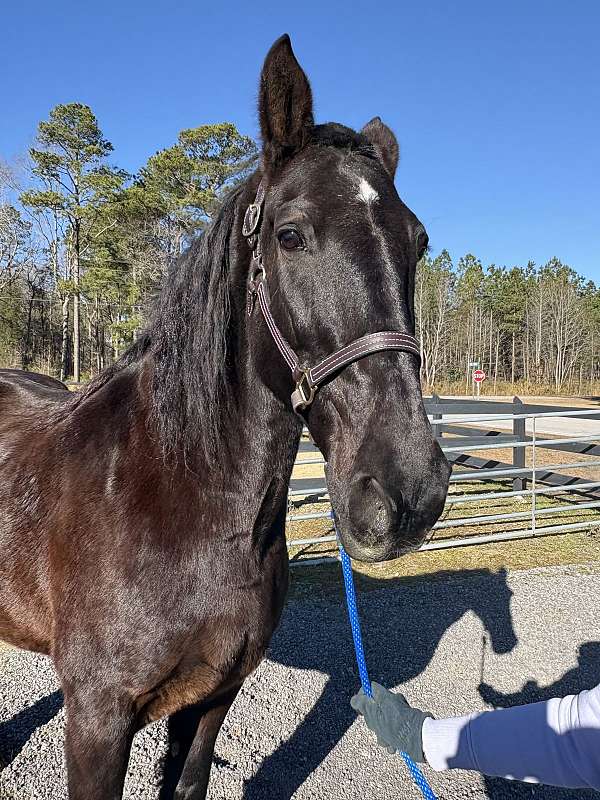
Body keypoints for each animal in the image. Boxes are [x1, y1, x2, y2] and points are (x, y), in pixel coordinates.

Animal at [0, 34, 450, 796]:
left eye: (416, 241)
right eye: (290, 235)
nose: (407, 491)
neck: (173, 499)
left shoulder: (214, 698)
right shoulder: (96, 721)